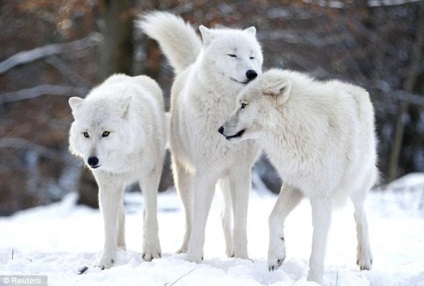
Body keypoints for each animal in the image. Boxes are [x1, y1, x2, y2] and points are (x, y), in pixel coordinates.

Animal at [68, 73, 166, 268]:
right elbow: (109, 227)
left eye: (106, 133)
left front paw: (151, 252)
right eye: (86, 134)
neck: (122, 160)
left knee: (145, 212)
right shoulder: (108, 186)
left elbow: (151, 216)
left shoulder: (149, 175)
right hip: (117, 187)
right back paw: (120, 248)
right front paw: (106, 261)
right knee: (121, 214)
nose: (92, 160)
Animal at [137, 11, 264, 262]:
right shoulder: (206, 173)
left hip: (225, 180)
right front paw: (194, 260)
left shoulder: (241, 174)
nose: (252, 74)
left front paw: (243, 259)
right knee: (189, 216)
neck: (226, 112)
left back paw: (231, 253)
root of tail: (190, 64)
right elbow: (198, 223)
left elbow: (241, 225)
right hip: (184, 176)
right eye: (233, 54)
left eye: (252, 57)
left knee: (225, 216)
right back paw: (185, 248)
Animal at [219, 68, 378, 284]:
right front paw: (276, 256)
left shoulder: (321, 197)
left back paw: (365, 258)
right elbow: (273, 217)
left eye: (243, 105)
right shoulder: (294, 185)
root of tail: (357, 89)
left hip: (357, 183)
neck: (296, 128)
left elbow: (317, 243)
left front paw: (314, 280)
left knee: (361, 215)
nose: (220, 129)